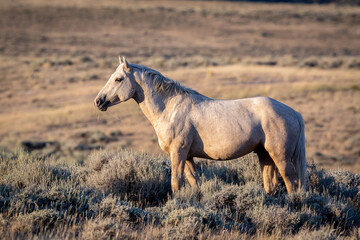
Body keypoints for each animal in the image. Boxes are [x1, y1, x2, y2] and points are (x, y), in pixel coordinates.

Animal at [95, 56, 306, 195]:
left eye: (118, 79)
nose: (99, 101)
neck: (170, 108)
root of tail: (293, 113)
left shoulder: (177, 153)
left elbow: (176, 183)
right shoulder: (187, 157)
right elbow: (193, 182)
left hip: (281, 157)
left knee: (292, 182)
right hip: (265, 155)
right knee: (271, 184)